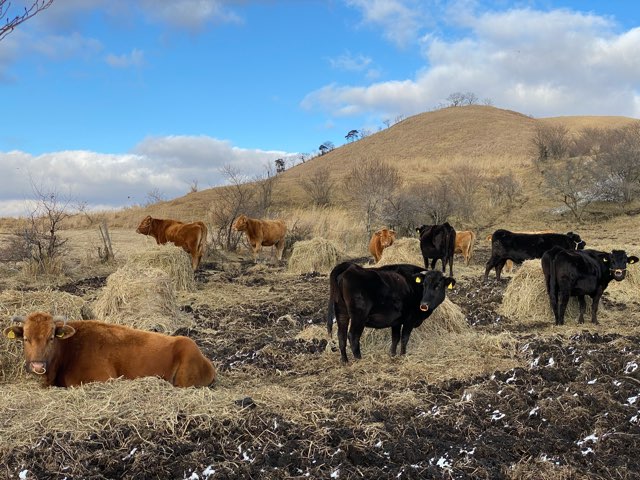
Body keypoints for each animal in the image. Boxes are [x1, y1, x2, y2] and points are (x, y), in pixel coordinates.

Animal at [328, 262, 458, 364]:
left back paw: (345, 361)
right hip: (358, 316)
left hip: (341, 313)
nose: (424, 304)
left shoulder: (396, 321)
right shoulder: (409, 320)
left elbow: (395, 338)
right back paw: (359, 359)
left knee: (341, 336)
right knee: (353, 336)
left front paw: (393, 355)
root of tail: (351, 267)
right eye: (424, 284)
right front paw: (403, 355)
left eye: (438, 286)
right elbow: (404, 338)